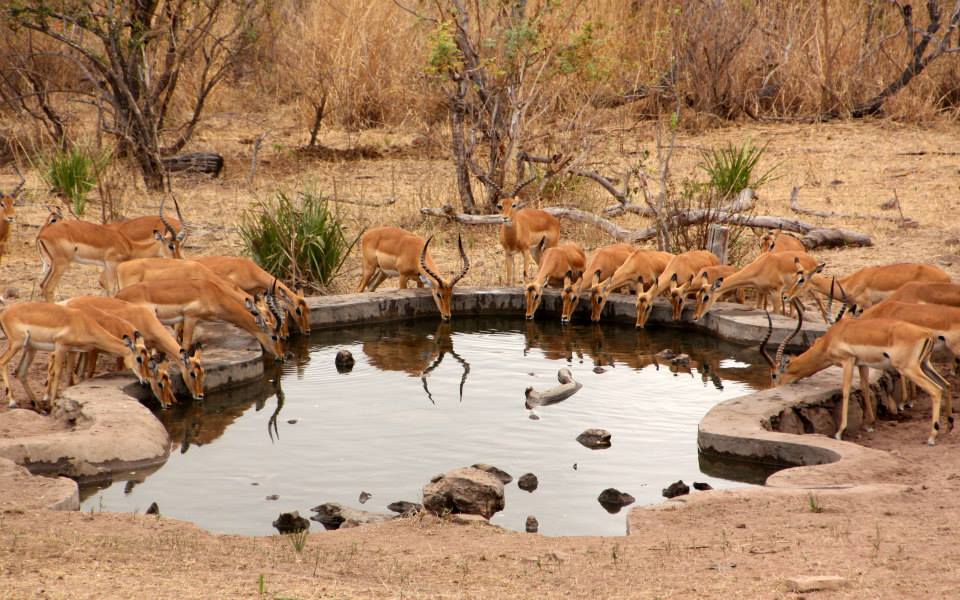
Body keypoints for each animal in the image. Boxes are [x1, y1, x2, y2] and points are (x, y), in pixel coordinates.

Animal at [0, 302, 143, 412]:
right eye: (139, 358)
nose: (144, 381)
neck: (83, 322)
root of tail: (4, 313)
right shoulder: (61, 347)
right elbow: (58, 373)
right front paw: (52, 404)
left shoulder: (72, 351)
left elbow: (70, 372)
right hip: (16, 345)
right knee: (3, 362)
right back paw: (13, 402)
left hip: (30, 348)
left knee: (20, 372)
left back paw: (39, 407)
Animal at [115, 279, 285, 359]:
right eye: (274, 336)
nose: (282, 356)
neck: (211, 292)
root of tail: (118, 295)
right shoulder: (190, 317)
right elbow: (184, 344)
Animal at [693, 251, 823, 321]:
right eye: (697, 295)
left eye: (706, 297)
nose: (695, 317)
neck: (762, 266)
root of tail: (813, 260)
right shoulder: (761, 292)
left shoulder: (776, 293)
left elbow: (776, 313)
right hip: (793, 294)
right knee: (802, 308)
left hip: (812, 290)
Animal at [761, 304, 949, 445]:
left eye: (773, 375)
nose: (771, 388)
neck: (832, 337)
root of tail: (926, 334)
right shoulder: (862, 364)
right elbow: (865, 387)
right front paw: (869, 425)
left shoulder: (847, 361)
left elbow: (845, 390)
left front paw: (839, 432)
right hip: (925, 365)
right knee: (946, 385)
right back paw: (949, 426)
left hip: (909, 368)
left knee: (935, 390)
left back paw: (932, 437)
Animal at [784, 263, 951, 313]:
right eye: (794, 276)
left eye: (801, 279)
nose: (786, 296)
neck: (851, 282)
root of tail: (947, 277)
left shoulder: (866, 305)